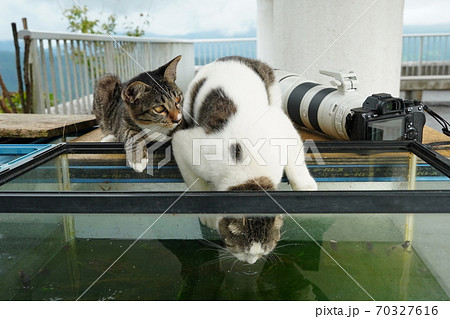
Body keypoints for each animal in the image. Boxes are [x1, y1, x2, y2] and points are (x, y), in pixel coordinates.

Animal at [171, 55, 316, 264]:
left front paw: (305, 185)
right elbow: (196, 183)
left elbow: (294, 153)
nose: (251, 262)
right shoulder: (185, 143)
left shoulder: (281, 124)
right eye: (242, 250)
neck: (249, 173)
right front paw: (208, 215)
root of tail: (232, 57)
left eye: (263, 252)